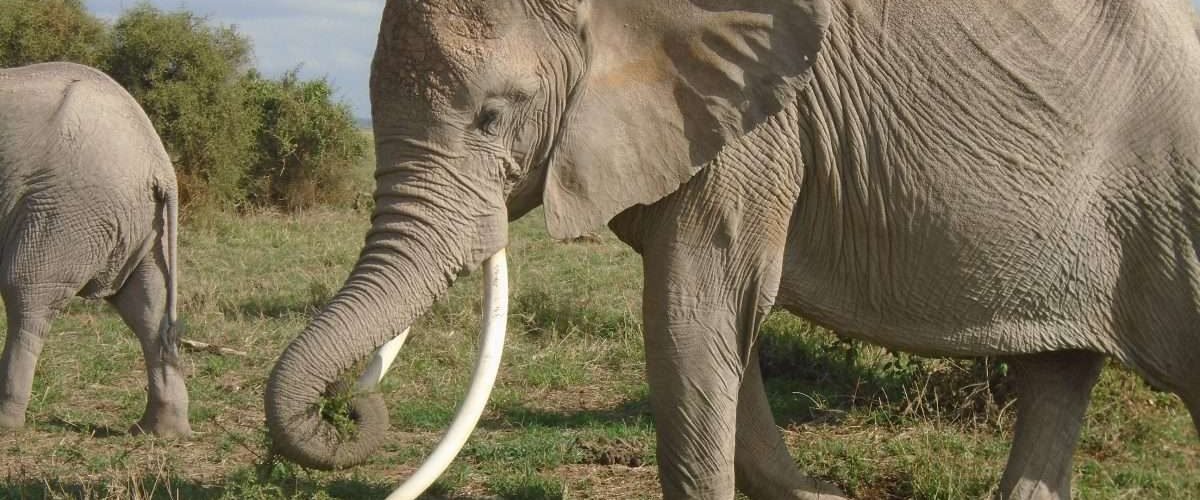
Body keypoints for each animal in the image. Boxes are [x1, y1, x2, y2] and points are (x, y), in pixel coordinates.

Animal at [0, 62, 188, 437]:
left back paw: (5, 422)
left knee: (27, 296)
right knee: (147, 308)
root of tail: (159, 166)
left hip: (65, 210)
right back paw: (159, 431)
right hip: (142, 225)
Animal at [265, 1, 1200, 498]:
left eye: (496, 115)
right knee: (1059, 374)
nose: (352, 411)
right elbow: (713, 336)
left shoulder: (755, 129)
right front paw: (818, 496)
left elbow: (690, 319)